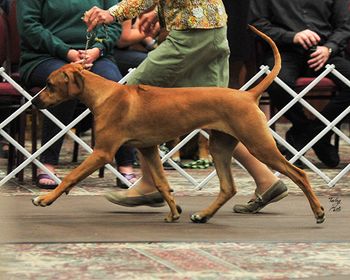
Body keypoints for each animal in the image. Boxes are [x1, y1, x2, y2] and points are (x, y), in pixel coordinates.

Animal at [30, 25, 326, 223]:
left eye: (50, 85)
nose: (33, 101)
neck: (105, 94)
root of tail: (248, 94)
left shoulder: (102, 152)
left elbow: (70, 176)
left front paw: (45, 199)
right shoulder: (148, 149)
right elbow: (162, 184)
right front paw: (173, 212)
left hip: (258, 143)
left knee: (298, 173)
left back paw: (318, 211)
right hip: (220, 146)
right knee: (228, 187)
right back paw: (204, 215)